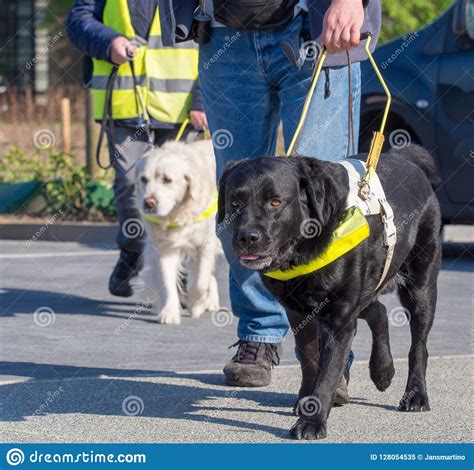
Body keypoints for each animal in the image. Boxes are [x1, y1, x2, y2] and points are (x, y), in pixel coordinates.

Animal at [134, 139, 221, 324]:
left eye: (167, 180)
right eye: (144, 179)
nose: (149, 203)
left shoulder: (206, 245)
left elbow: (200, 282)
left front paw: (195, 304)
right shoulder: (165, 250)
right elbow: (167, 282)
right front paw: (169, 312)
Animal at [218, 145, 440, 438]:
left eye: (275, 202)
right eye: (235, 203)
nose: (247, 237)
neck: (303, 246)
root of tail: (407, 159)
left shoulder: (339, 321)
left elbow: (328, 372)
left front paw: (312, 422)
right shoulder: (299, 313)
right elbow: (310, 360)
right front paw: (307, 403)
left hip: (420, 287)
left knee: (419, 346)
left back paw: (416, 395)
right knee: (378, 311)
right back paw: (382, 370)